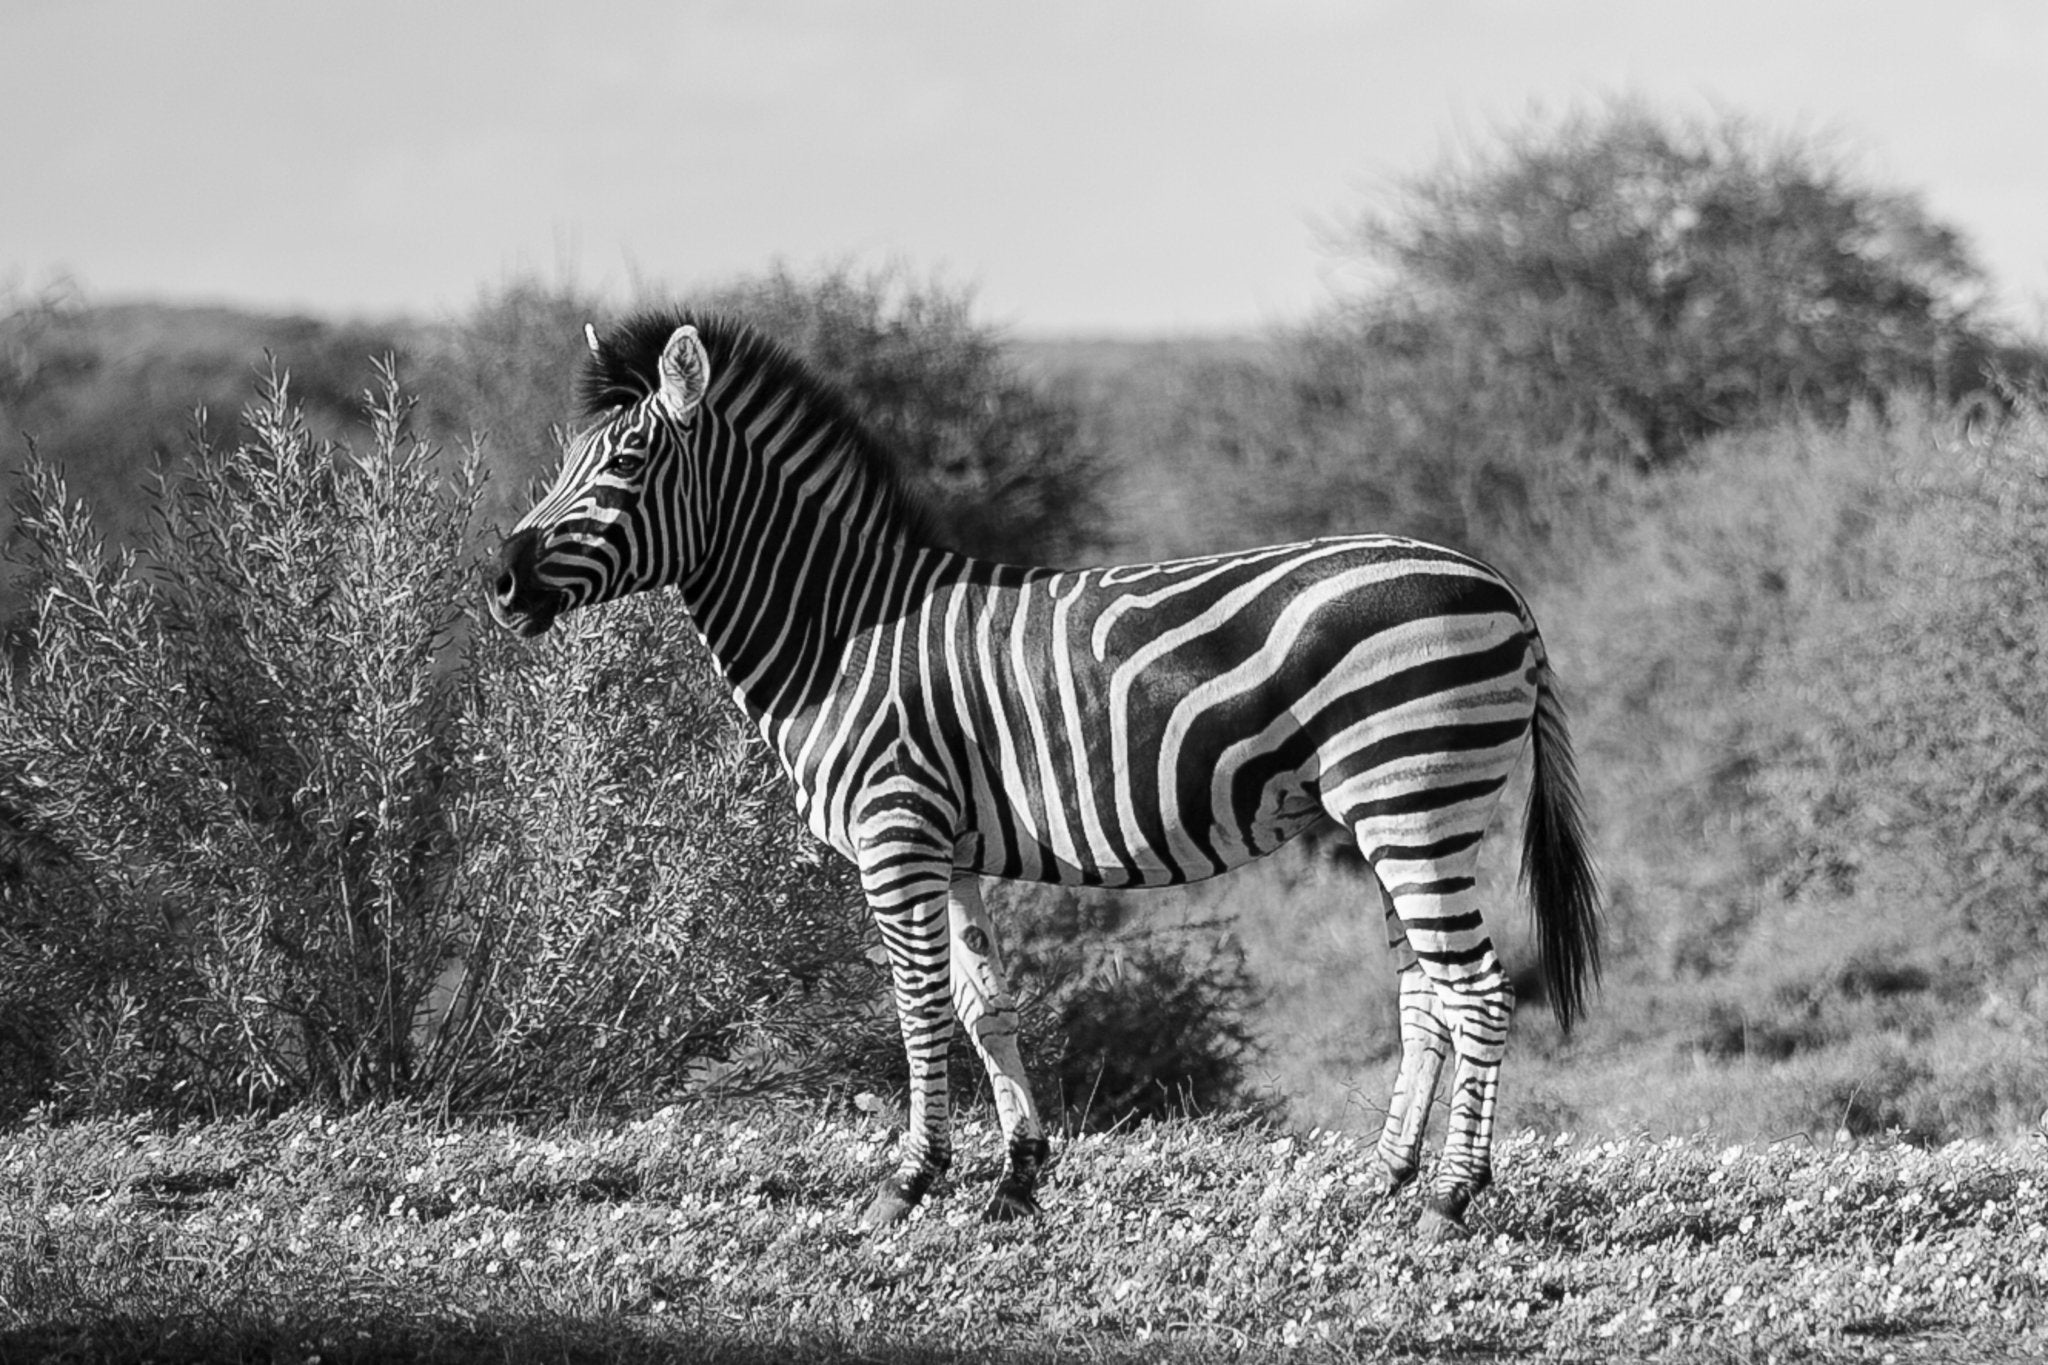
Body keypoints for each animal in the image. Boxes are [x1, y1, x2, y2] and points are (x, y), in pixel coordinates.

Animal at [490, 312, 1601, 1240]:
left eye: (629, 461)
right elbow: (986, 1006)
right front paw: (1016, 1177)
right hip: (1392, 814)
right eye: (566, 459)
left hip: (1412, 798)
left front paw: (908, 1182)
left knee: (1478, 990)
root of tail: (1503, 590)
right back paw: (1381, 1182)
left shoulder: (895, 832)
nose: (499, 579)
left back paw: (1449, 1199)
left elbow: (917, 1009)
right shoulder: (949, 849)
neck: (835, 633)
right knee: (1426, 993)